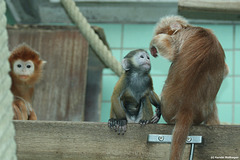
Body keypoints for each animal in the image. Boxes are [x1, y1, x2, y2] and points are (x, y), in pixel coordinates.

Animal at [149, 15, 228, 160]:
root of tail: (187, 108)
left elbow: (168, 47)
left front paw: (153, 43)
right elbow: (225, 70)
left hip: (168, 110)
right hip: (202, 112)